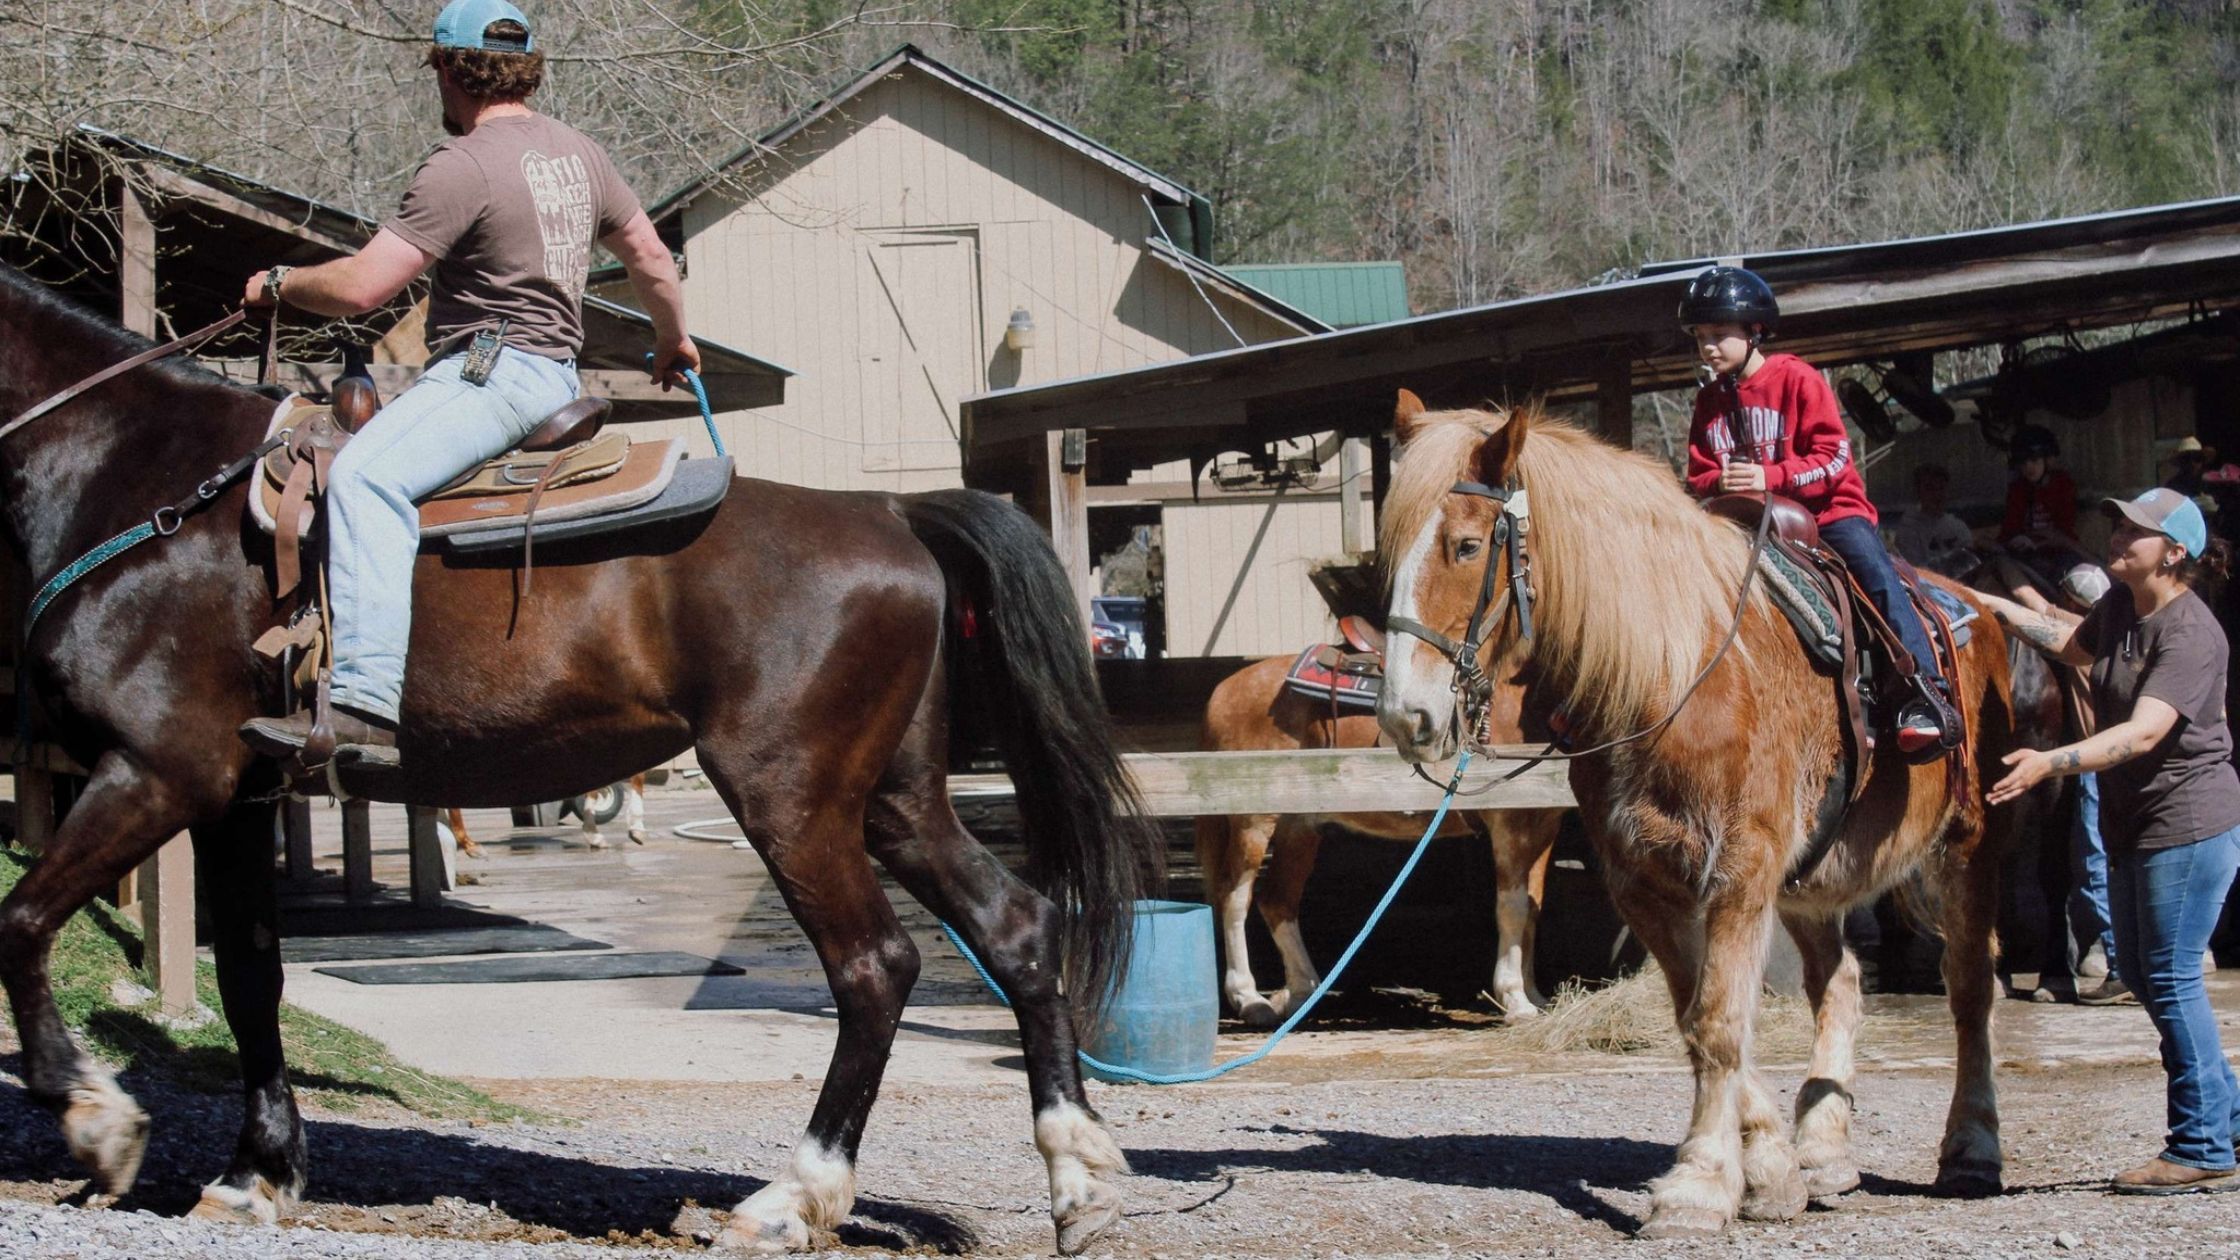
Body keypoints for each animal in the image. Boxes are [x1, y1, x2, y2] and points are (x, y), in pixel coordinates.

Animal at [0, 262, 1155, 1246]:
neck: (141, 474)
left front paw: (97, 1117)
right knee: (1014, 926)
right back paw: (1078, 1180)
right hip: (895, 799)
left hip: (791, 797)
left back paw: (789, 1199)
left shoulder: (156, 772)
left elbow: (20, 922)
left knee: (875, 966)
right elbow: (249, 977)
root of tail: (889, 512)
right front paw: (254, 1173)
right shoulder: (235, 797)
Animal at [1191, 659, 1559, 1022]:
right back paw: (1249, 998)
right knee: (1234, 897)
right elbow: (1513, 908)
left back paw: (1301, 991)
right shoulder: (1509, 822)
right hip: (1253, 823)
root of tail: (1223, 692)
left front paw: (1535, 996)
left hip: (1298, 829)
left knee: (1277, 900)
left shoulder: (1543, 824)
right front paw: (1515, 999)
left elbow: (1533, 905)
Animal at [1370, 394, 2024, 1237]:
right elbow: (1699, 1020)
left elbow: (1717, 1022)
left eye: (1467, 544)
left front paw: (1700, 1186)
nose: (1404, 715)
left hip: (1969, 847)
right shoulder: (1645, 883)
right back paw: (1825, 1149)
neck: (1674, 673)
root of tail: (1974, 607)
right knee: (1841, 983)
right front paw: (1770, 1169)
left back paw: (1972, 1148)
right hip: (1810, 881)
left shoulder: (1739, 873)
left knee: (1971, 988)